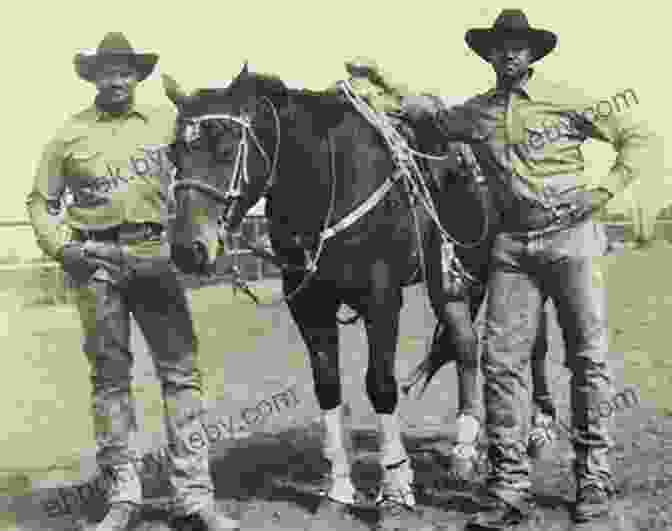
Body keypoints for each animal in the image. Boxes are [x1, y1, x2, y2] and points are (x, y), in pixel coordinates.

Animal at [160, 65, 490, 528]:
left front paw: (395, 491)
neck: (328, 179)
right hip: (446, 281)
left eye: (225, 148)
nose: (188, 250)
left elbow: (381, 385)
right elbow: (328, 385)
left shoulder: (381, 298)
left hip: (468, 273)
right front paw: (338, 492)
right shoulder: (308, 304)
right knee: (462, 344)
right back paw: (463, 452)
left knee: (478, 347)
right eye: (175, 154)